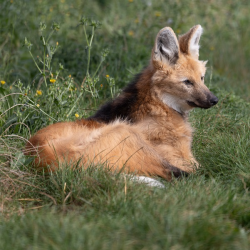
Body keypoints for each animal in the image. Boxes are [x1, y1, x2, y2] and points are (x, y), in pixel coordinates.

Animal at [24, 24, 218, 181]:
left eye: (202, 78)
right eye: (187, 82)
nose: (214, 100)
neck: (161, 105)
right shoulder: (178, 157)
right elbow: (196, 168)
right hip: (127, 133)